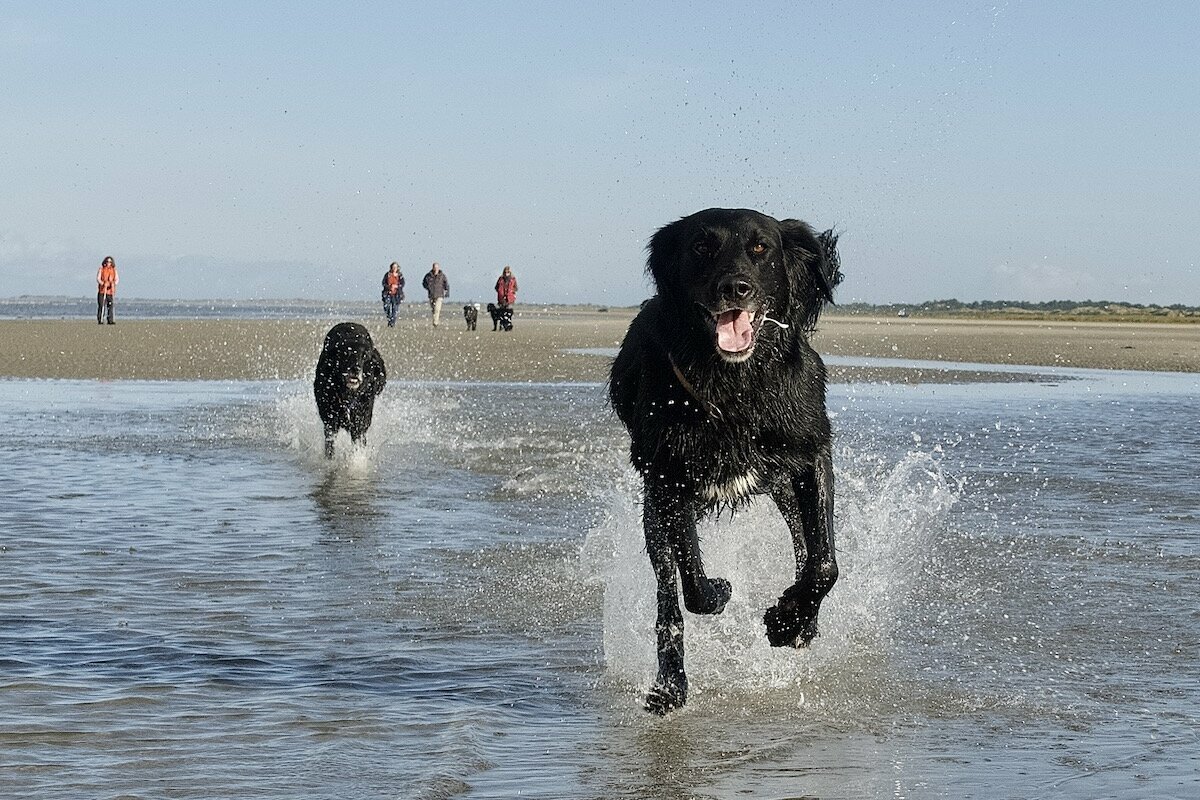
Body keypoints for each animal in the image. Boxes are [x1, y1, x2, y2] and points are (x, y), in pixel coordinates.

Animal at [312, 319, 386, 455]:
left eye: (365, 356)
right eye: (346, 354)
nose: (355, 369)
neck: (348, 395)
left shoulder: (360, 422)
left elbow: (358, 445)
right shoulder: (330, 421)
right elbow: (330, 445)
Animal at [609, 206, 844, 714]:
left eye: (760, 247)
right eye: (701, 246)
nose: (734, 288)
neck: (736, 386)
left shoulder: (811, 452)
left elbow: (824, 564)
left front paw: (787, 622)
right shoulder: (669, 480)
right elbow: (692, 584)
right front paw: (721, 591)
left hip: (781, 486)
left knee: (804, 546)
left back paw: (803, 621)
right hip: (655, 512)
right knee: (669, 596)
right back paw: (670, 685)